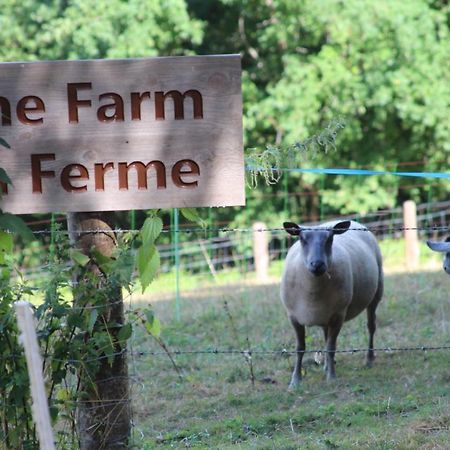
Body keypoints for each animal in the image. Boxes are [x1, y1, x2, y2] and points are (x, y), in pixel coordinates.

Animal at [282, 221, 384, 386]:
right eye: (302, 239)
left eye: (330, 239)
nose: (317, 264)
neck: (312, 293)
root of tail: (356, 222)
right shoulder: (294, 317)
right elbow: (300, 348)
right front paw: (295, 381)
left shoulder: (338, 315)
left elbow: (331, 347)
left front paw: (331, 377)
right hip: (325, 314)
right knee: (325, 334)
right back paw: (326, 365)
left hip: (376, 293)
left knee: (371, 327)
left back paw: (369, 359)